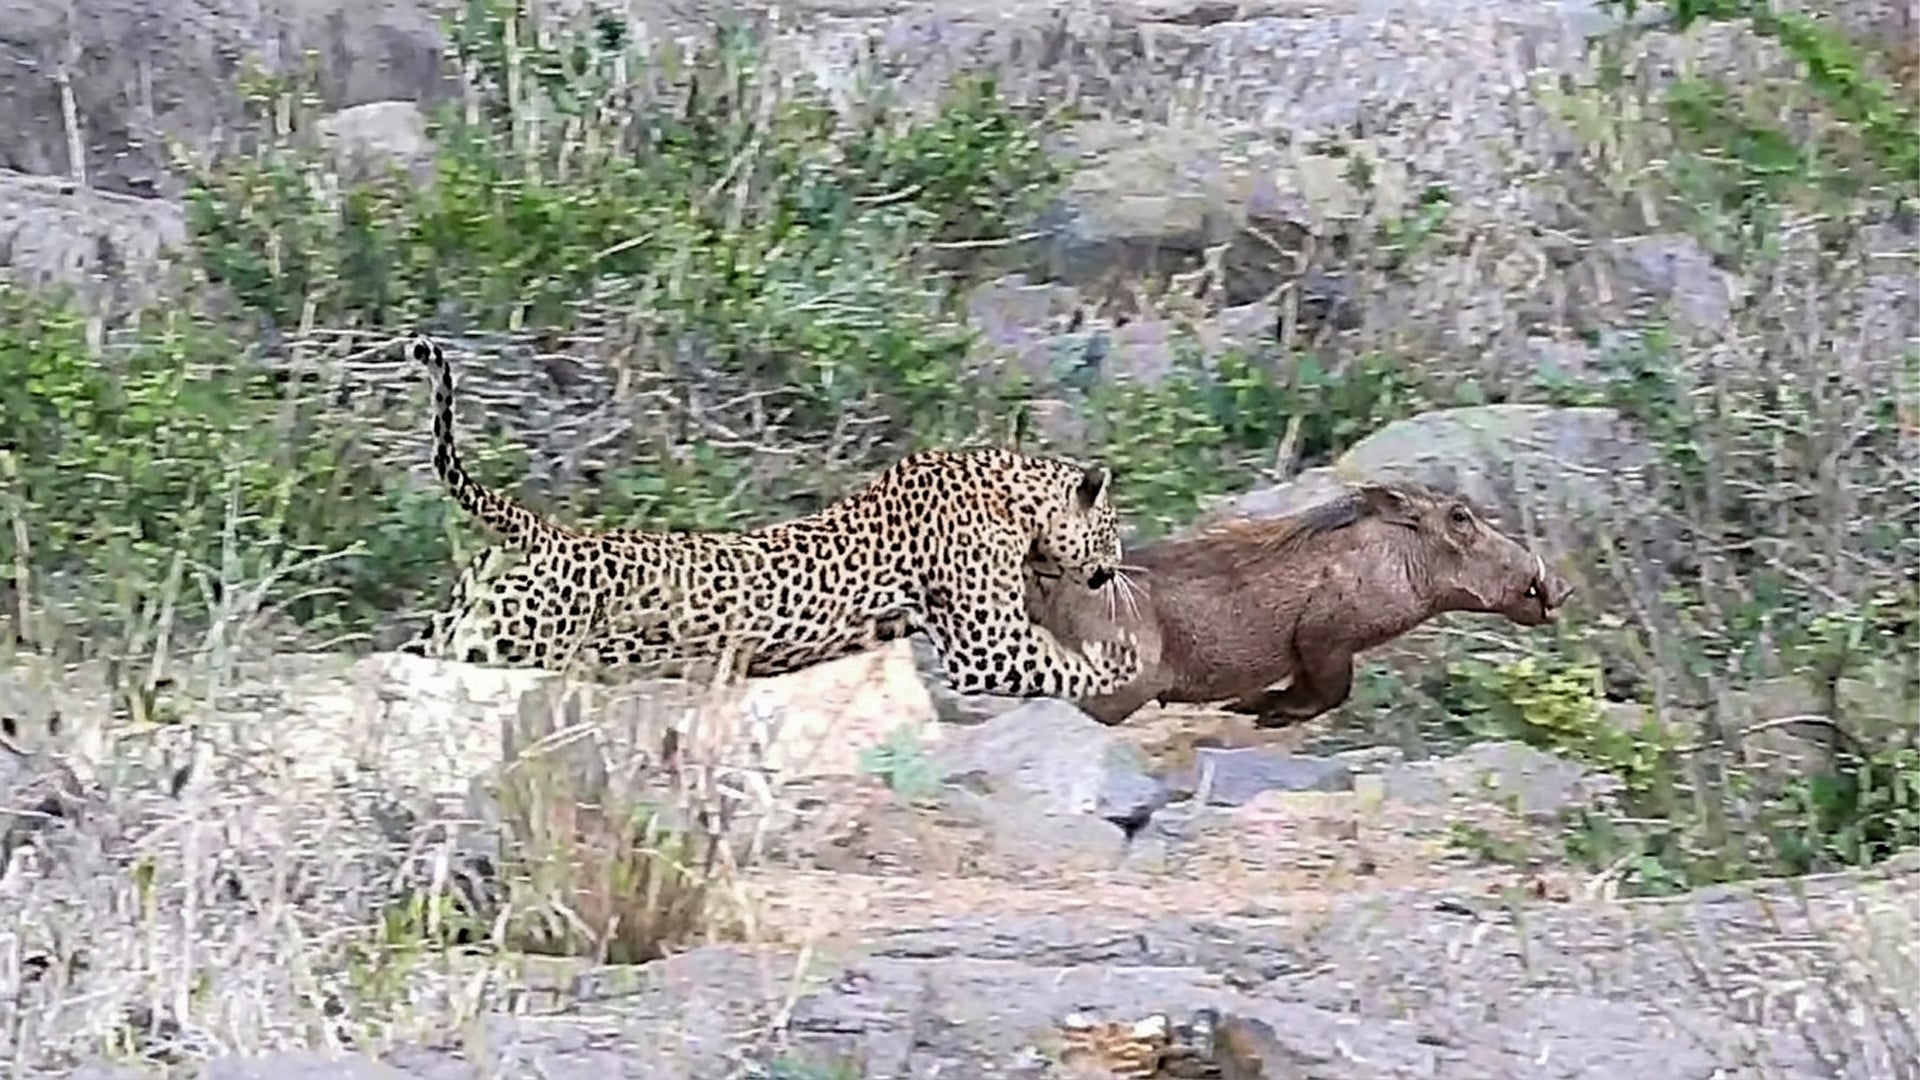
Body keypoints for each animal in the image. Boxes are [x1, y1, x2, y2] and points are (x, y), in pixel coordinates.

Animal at [396, 334, 1142, 700]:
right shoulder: (988, 646)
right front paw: (1120, 657)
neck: (1009, 493)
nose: (1116, 569)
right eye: (1113, 527)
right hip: (514, 641)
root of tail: (542, 532)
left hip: (460, 627)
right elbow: (1063, 665)